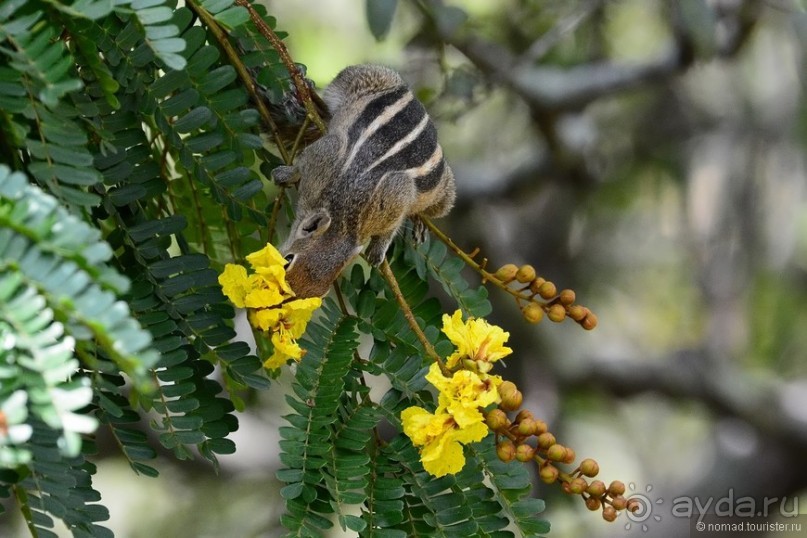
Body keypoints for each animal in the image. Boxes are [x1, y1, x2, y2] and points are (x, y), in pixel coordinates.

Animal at [274, 65, 458, 298]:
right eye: (287, 261)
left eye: (316, 295)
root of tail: (412, 96)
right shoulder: (325, 156)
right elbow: (305, 161)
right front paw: (286, 174)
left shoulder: (395, 197)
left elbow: (391, 227)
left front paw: (378, 250)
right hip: (361, 78)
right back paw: (304, 90)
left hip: (441, 192)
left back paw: (420, 221)